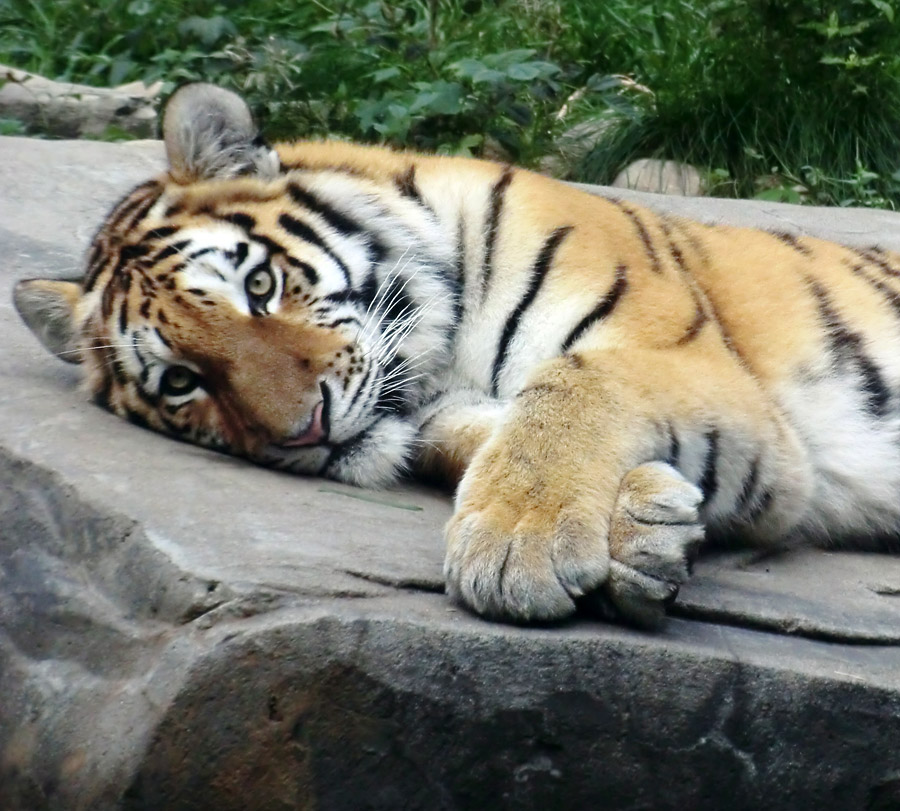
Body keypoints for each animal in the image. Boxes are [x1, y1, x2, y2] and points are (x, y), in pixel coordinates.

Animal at [12, 84, 900, 628]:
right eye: (181, 381)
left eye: (259, 286)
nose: (305, 433)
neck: (440, 352)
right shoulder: (443, 415)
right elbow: (484, 441)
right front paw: (643, 526)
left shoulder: (690, 362)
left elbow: (572, 383)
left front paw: (517, 545)